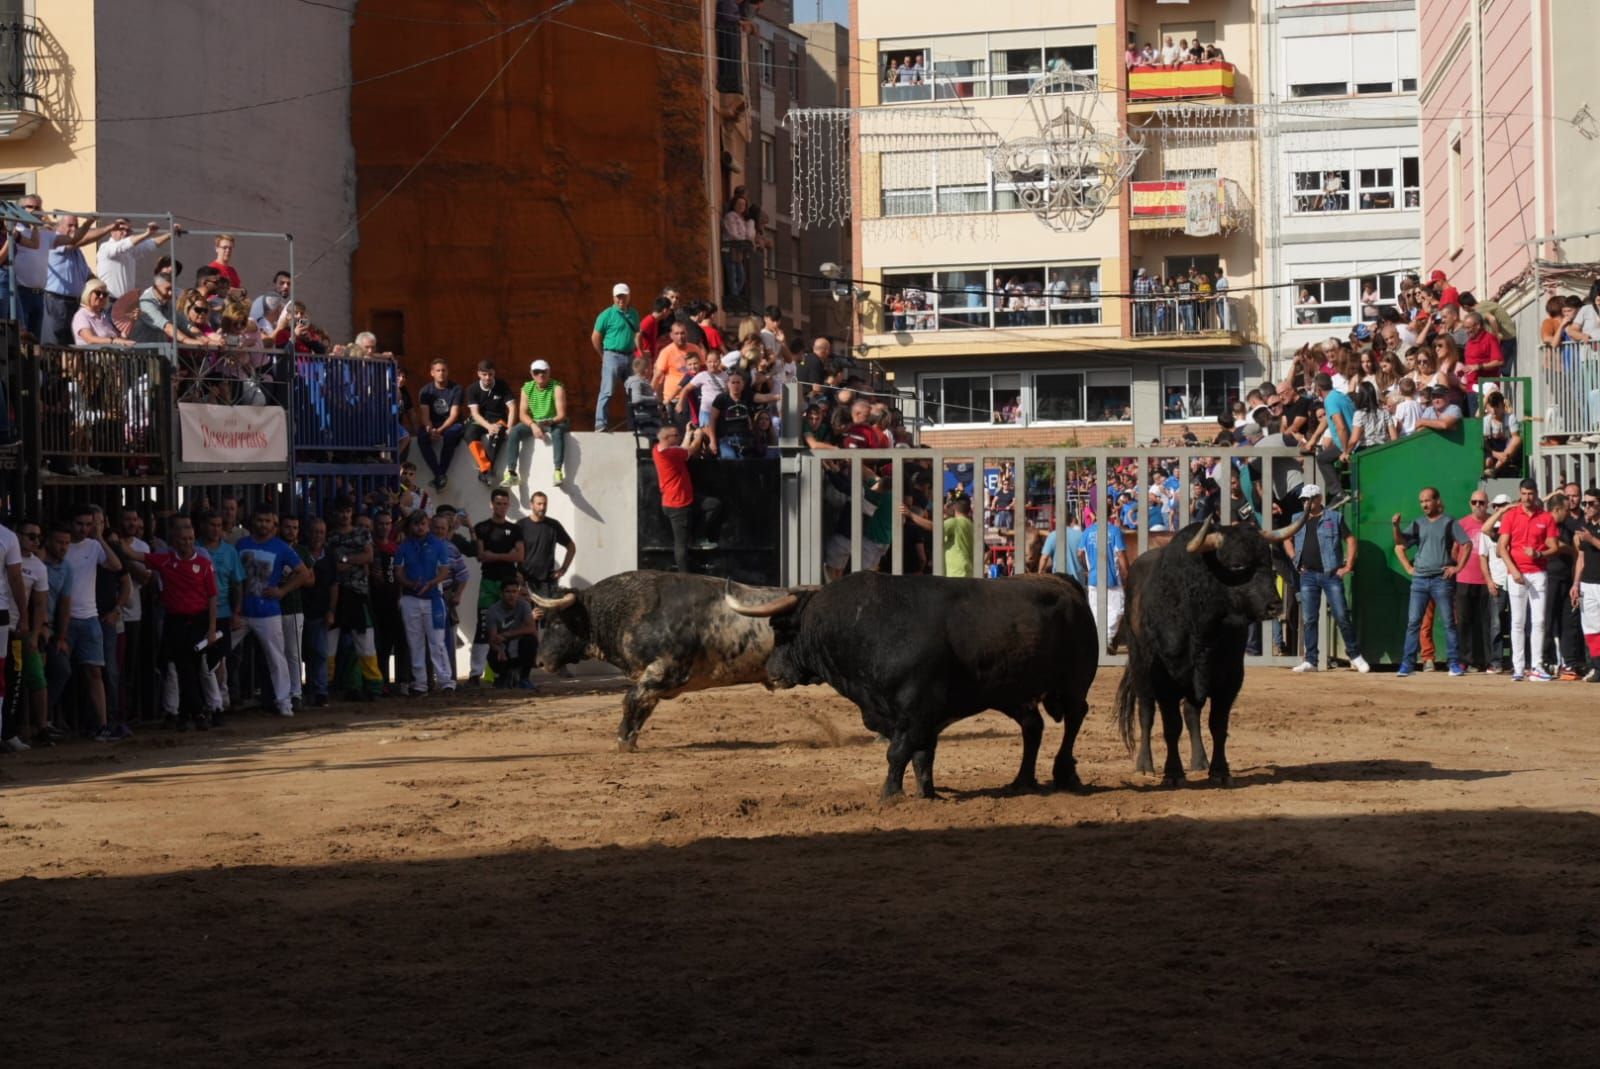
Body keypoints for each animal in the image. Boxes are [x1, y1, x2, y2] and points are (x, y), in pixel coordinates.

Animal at [729, 572, 1094, 796]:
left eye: (780, 629)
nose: (770, 672)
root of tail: (1064, 581)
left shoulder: (917, 709)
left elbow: (898, 752)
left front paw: (889, 795)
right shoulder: (908, 717)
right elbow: (921, 755)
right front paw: (925, 794)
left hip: (1073, 684)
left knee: (1074, 718)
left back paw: (1065, 773)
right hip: (1011, 694)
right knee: (1033, 726)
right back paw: (1021, 781)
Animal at [1120, 512, 1305, 790]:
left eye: (1268, 563)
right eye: (1237, 565)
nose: (1274, 605)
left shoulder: (1229, 679)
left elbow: (1217, 724)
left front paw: (1219, 770)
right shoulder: (1165, 681)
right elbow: (1171, 726)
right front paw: (1173, 773)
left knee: (1191, 712)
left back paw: (1199, 761)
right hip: (1139, 664)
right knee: (1146, 713)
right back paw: (1144, 765)